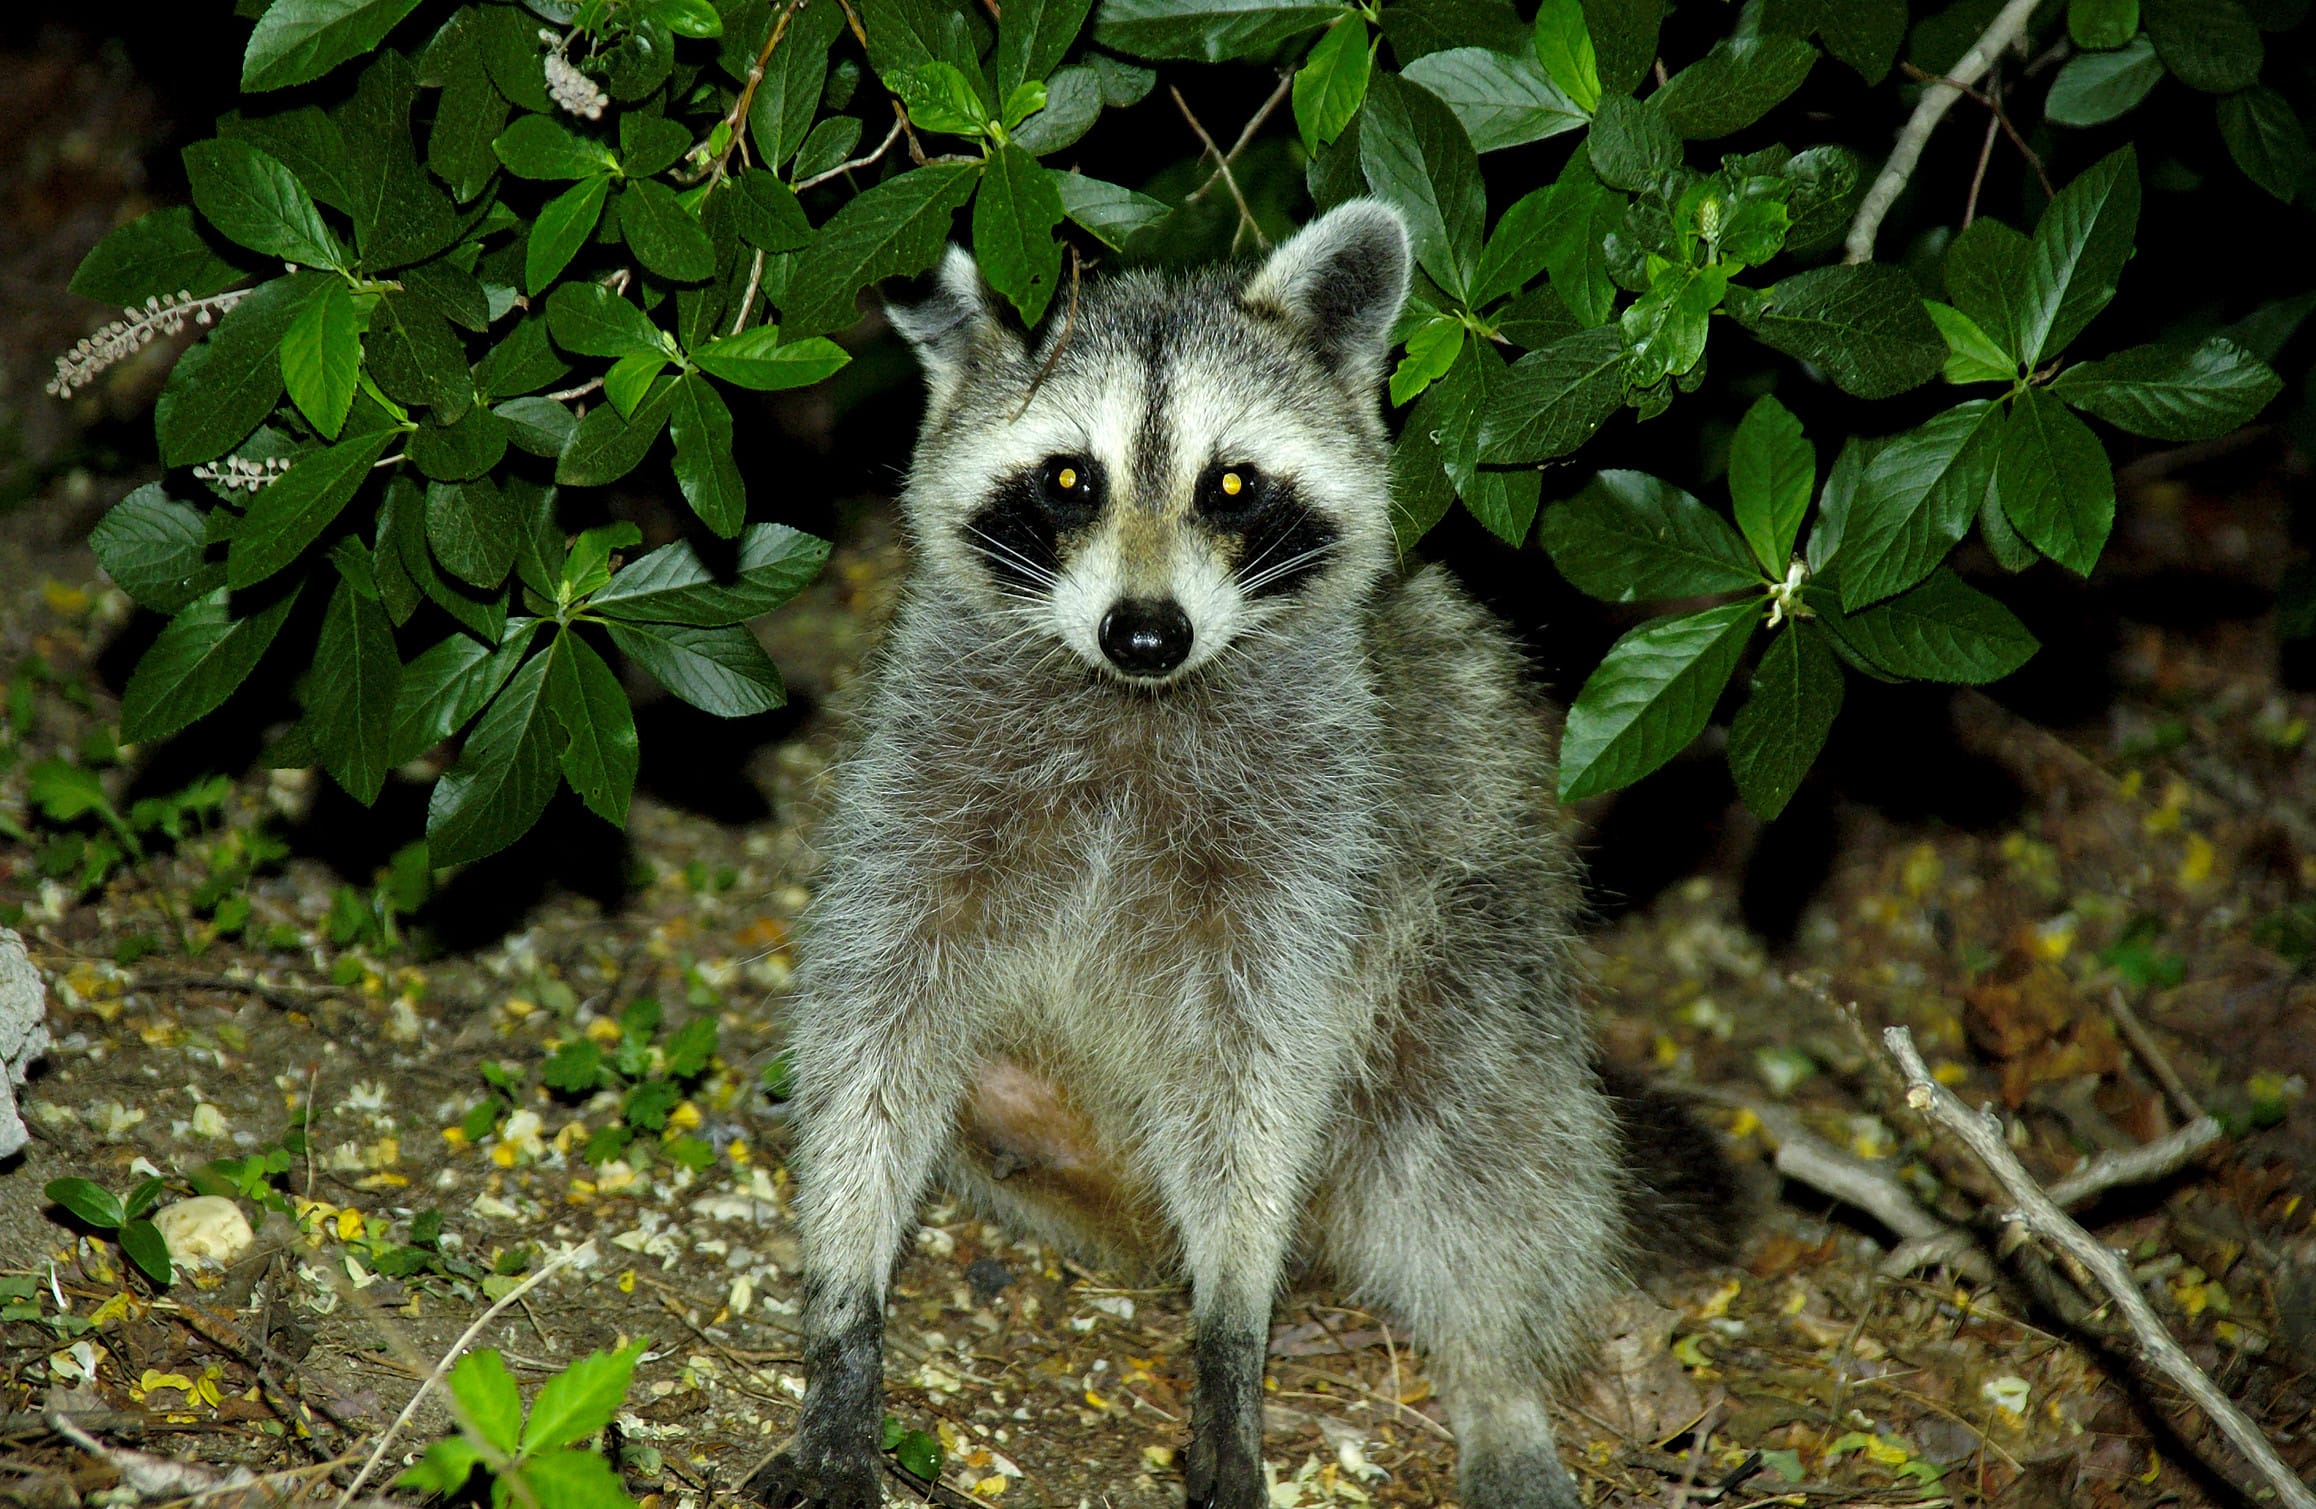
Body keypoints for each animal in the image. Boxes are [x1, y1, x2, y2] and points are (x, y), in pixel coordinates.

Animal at [750, 203, 1732, 1509]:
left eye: (1233, 484)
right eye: (1068, 478)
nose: (1146, 633)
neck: (1131, 703)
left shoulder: (1318, 834)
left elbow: (1256, 1067)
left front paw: (1233, 1321)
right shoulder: (922, 777)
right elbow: (874, 1029)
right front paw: (845, 1312)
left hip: (1472, 946)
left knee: (1478, 1131)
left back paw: (1496, 1387)